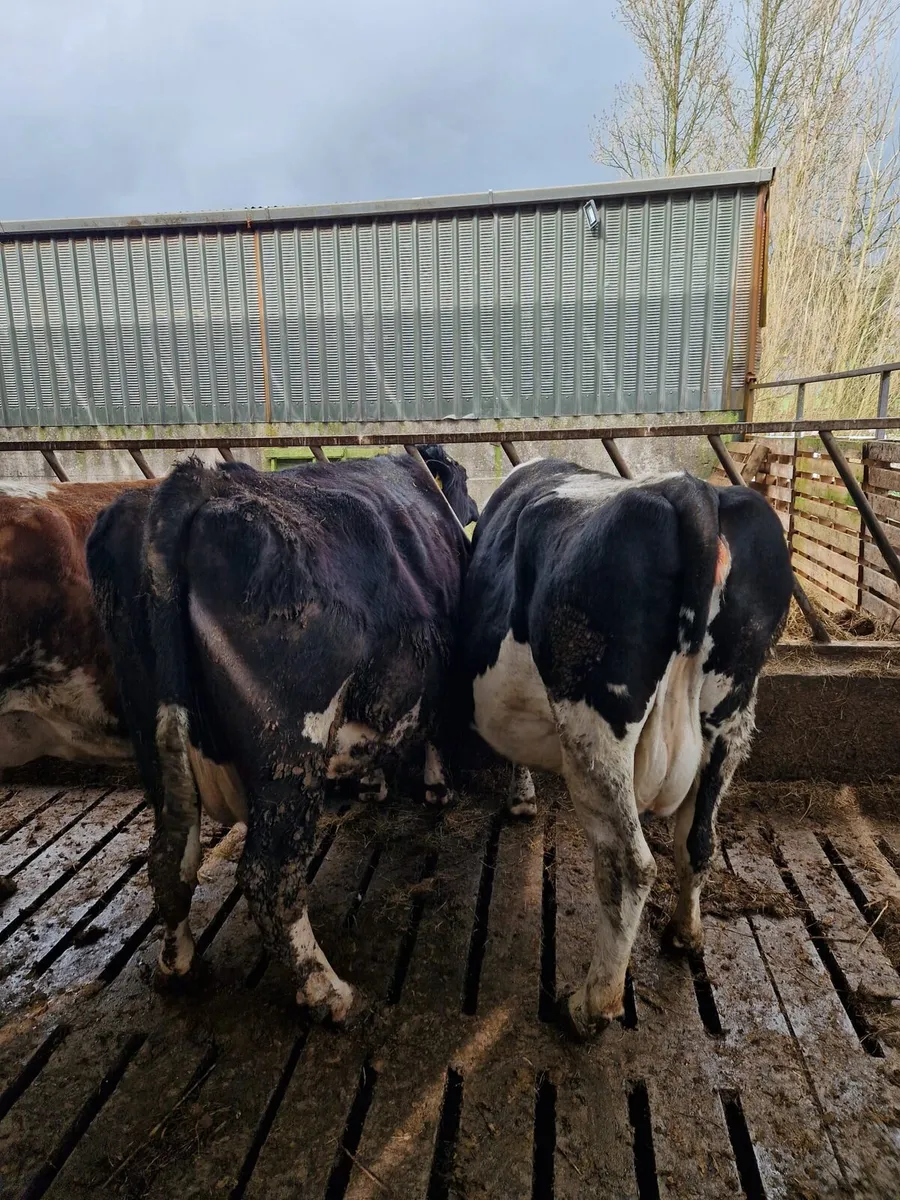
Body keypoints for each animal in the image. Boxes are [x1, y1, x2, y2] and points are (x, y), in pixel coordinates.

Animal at [86, 445, 477, 1023]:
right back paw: (327, 991)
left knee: (168, 858)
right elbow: (433, 729)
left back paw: (177, 966)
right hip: (288, 752)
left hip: (151, 737)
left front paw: (372, 784)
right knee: (269, 878)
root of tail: (190, 484)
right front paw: (435, 788)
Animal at [458, 460, 792, 1041]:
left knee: (629, 865)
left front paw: (520, 799)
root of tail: (692, 490)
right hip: (731, 715)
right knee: (698, 840)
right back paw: (684, 934)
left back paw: (591, 1005)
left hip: (596, 726)